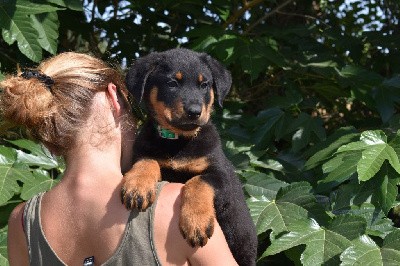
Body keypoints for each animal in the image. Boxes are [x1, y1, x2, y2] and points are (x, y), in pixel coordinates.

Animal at [121, 48, 256, 266]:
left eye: (204, 85)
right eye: (172, 83)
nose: (194, 111)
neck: (178, 141)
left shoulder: (221, 174)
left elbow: (197, 182)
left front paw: (196, 223)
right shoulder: (142, 153)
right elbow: (147, 161)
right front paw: (137, 186)